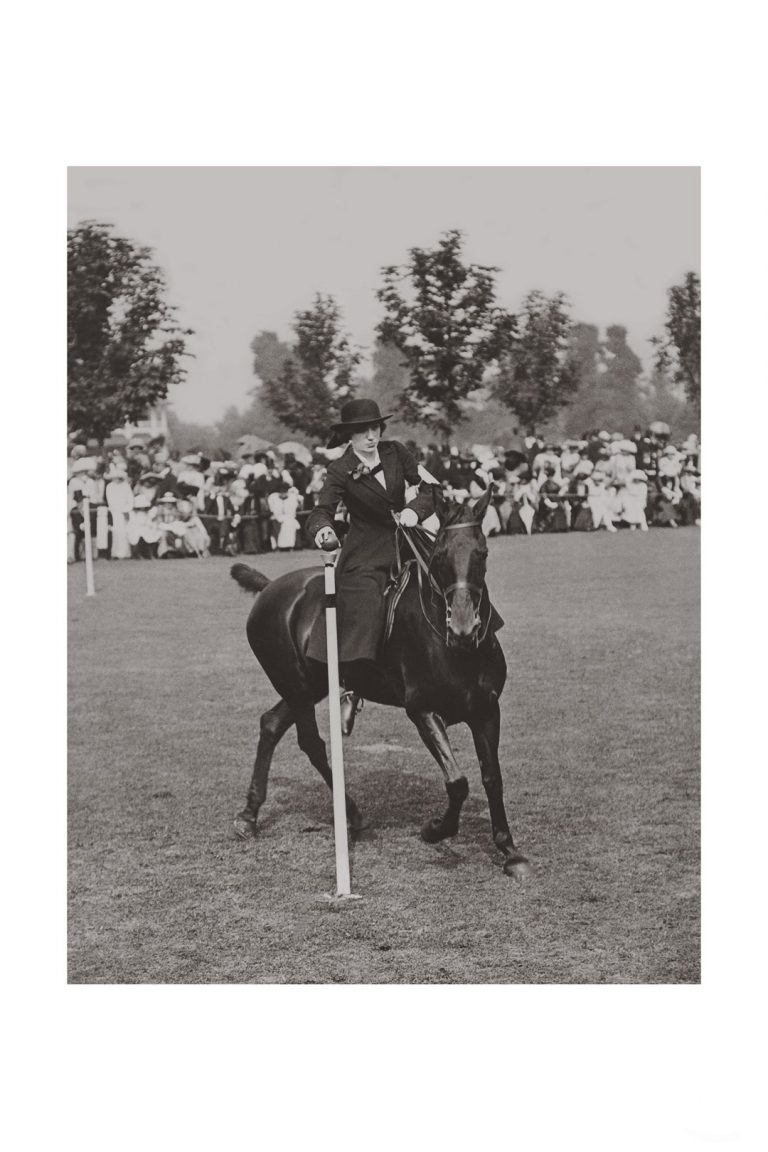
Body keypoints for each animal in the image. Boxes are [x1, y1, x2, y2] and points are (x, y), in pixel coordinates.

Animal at [230, 486, 529, 870]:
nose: (463, 629)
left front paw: (509, 849)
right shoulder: (422, 710)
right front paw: (435, 829)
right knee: (310, 742)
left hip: (309, 685)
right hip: (295, 684)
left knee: (271, 724)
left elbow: (492, 778)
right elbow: (458, 781)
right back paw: (350, 813)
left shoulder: (487, 710)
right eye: (440, 555)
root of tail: (270, 588)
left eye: (483, 553)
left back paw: (250, 814)